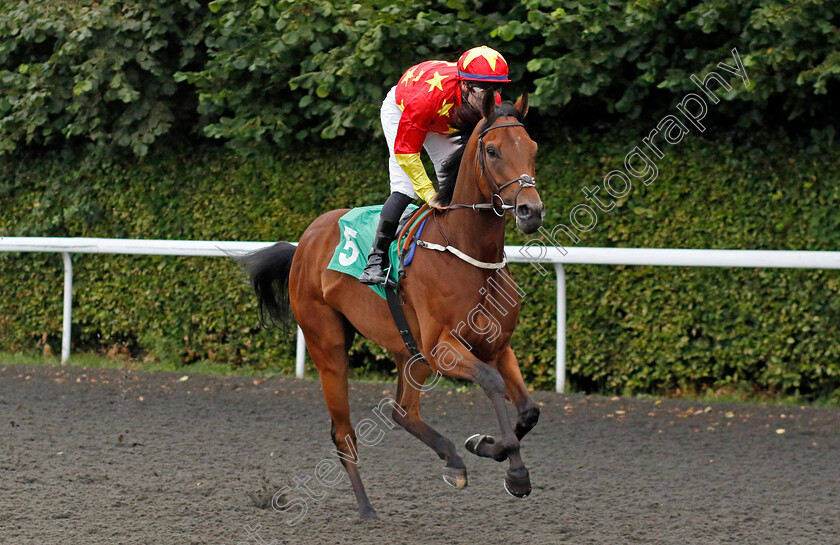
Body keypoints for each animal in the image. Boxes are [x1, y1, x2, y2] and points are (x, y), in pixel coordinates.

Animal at [241, 91, 544, 520]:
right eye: (492, 150)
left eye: (532, 148)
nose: (531, 211)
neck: (467, 253)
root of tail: (305, 243)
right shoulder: (441, 349)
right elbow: (491, 382)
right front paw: (515, 471)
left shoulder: (497, 345)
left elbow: (529, 408)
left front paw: (484, 445)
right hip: (329, 347)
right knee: (344, 433)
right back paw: (366, 508)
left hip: (407, 351)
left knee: (403, 412)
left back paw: (453, 459)